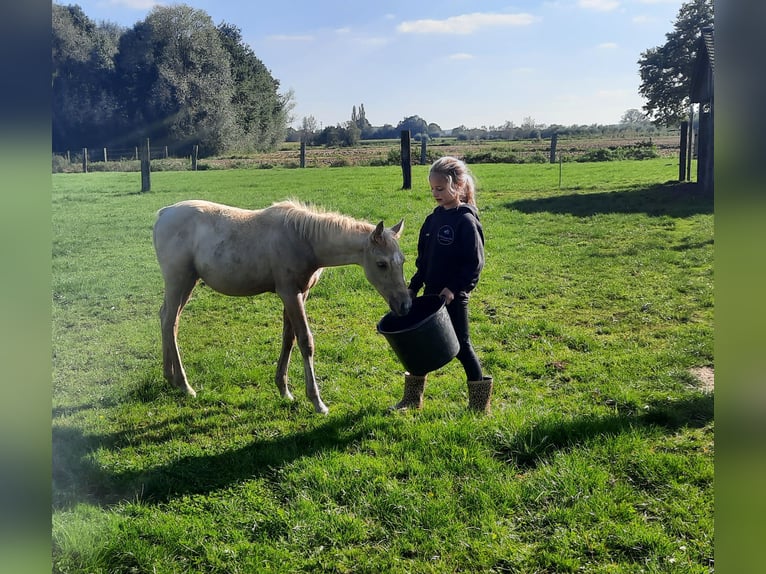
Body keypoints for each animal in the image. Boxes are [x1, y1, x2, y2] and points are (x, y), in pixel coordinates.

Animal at [152, 199, 414, 414]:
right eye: (381, 264)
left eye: (402, 261)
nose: (405, 305)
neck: (305, 240)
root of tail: (164, 213)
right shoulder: (289, 293)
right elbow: (305, 340)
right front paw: (317, 402)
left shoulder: (300, 294)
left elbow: (289, 338)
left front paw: (284, 390)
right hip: (179, 280)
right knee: (169, 321)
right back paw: (185, 385)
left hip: (188, 282)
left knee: (169, 320)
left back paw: (170, 377)